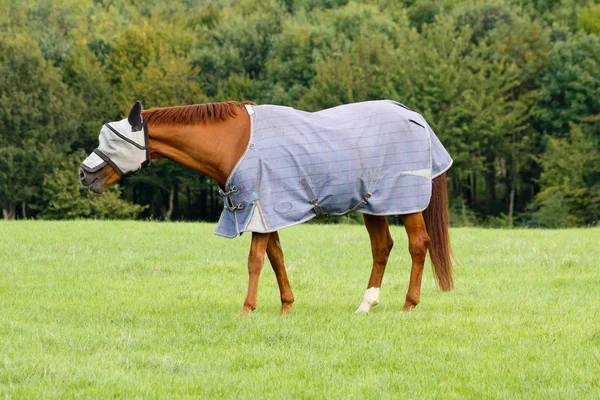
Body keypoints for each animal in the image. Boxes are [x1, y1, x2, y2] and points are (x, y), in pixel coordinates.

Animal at [81, 99, 454, 312]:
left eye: (113, 141)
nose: (84, 174)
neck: (233, 143)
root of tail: (415, 117)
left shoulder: (259, 209)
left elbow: (256, 261)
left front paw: (248, 308)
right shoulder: (265, 213)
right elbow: (276, 258)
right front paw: (286, 306)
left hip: (406, 201)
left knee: (418, 244)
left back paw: (409, 304)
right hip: (372, 205)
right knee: (382, 247)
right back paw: (366, 304)